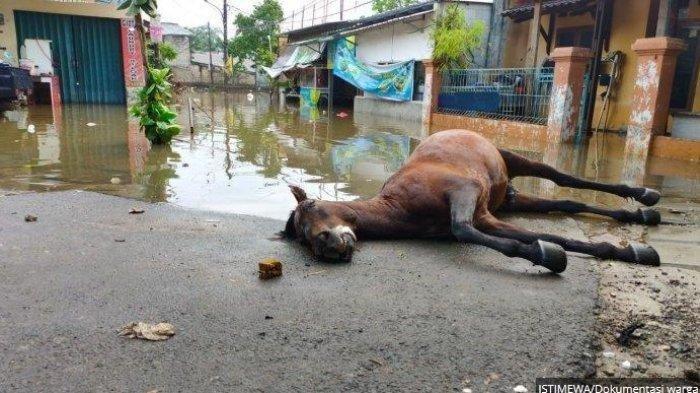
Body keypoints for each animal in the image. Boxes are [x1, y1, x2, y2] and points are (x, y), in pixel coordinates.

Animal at [280, 129, 660, 272]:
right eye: (302, 237)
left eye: (311, 207)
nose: (326, 245)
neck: (400, 206)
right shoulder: (485, 217)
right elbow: (537, 235)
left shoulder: (464, 193)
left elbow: (463, 229)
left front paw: (548, 255)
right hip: (509, 200)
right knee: (568, 204)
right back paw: (641, 217)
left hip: (512, 159)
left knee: (562, 179)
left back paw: (645, 195)